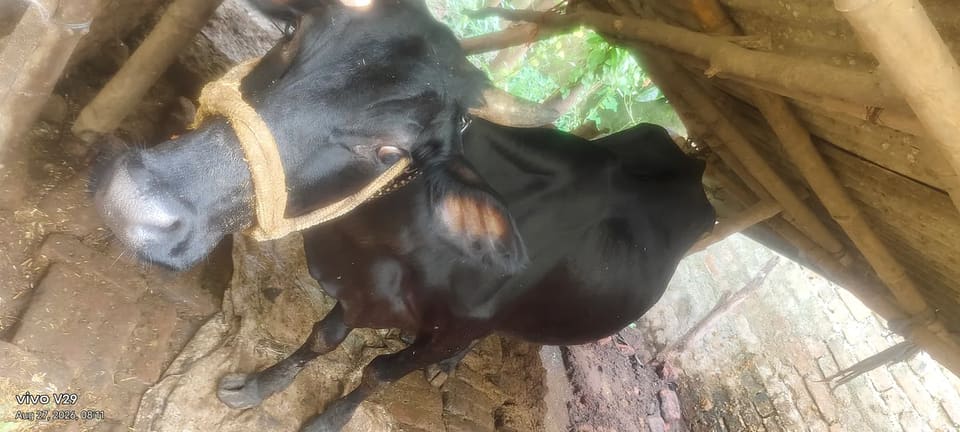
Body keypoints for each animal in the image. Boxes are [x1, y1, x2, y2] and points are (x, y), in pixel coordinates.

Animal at [90, 0, 716, 430]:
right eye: (292, 35)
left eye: (390, 150)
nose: (134, 201)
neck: (376, 243)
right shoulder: (355, 290)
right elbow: (322, 339)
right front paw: (260, 386)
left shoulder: (447, 328)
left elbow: (379, 372)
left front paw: (328, 419)